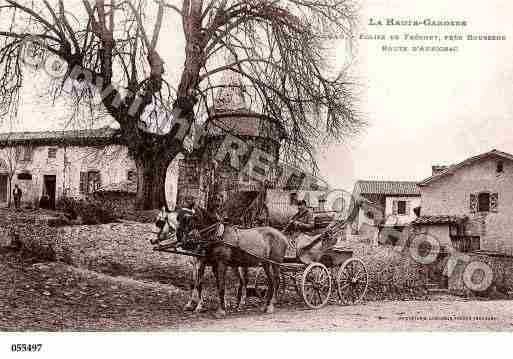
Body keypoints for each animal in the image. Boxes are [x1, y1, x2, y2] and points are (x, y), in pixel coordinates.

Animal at [152, 207, 288, 320]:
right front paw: (196, 305)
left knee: (276, 281)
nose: (183, 240)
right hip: (264, 263)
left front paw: (219, 310)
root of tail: (283, 236)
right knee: (268, 282)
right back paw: (263, 305)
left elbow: (218, 285)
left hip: (275, 263)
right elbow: (199, 283)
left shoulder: (217, 263)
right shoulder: (209, 263)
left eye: (160, 222)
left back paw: (270, 305)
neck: (217, 235)